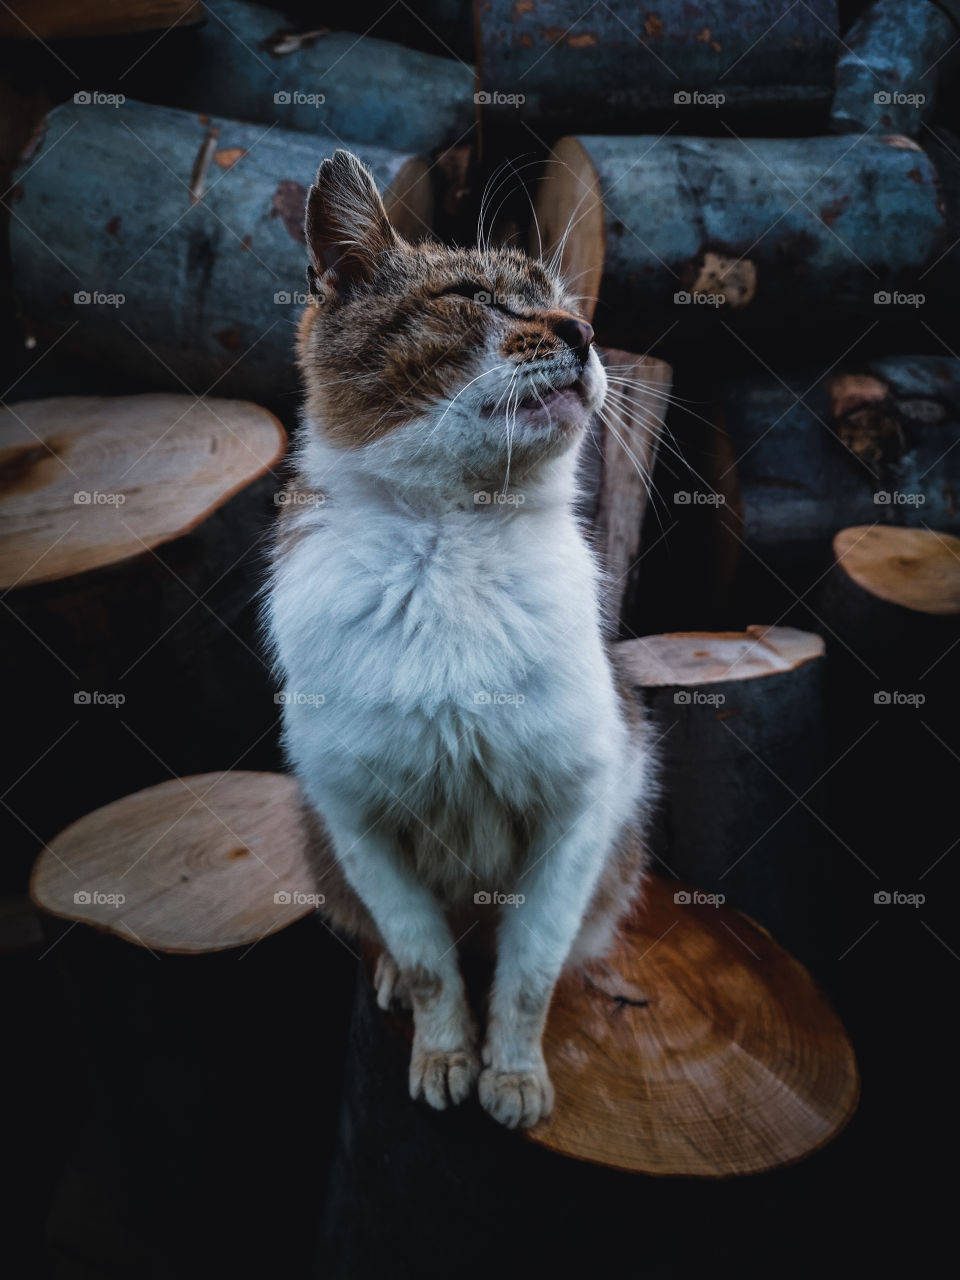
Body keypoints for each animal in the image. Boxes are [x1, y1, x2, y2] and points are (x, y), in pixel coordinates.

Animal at [267, 152, 660, 1131]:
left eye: (562, 300)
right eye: (476, 297)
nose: (584, 330)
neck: (454, 541)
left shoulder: (577, 814)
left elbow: (526, 974)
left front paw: (512, 1077)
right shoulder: (358, 822)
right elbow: (428, 962)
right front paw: (445, 1054)